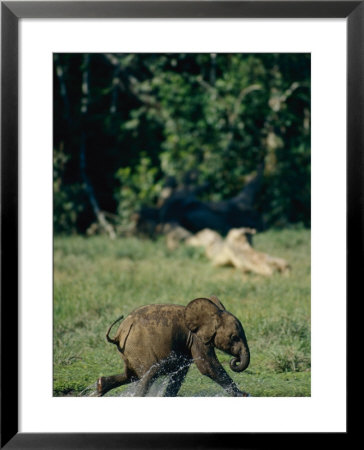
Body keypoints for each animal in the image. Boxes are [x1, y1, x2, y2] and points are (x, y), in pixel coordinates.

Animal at [96, 296, 250, 398]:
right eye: (234, 337)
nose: (235, 360)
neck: (214, 312)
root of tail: (119, 334)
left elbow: (180, 373)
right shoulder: (196, 338)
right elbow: (208, 367)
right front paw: (243, 395)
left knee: (132, 375)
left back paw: (100, 386)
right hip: (138, 348)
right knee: (149, 374)